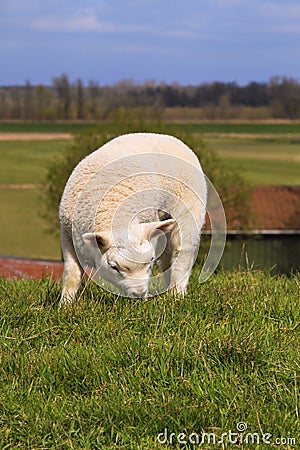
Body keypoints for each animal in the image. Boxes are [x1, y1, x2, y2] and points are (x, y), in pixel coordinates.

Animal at [59, 131, 207, 306]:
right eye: (114, 267)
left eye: (150, 261)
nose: (139, 294)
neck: (112, 205)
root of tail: (164, 136)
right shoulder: (68, 236)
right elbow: (72, 274)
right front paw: (65, 305)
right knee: (167, 257)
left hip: (187, 210)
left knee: (182, 253)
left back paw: (176, 295)